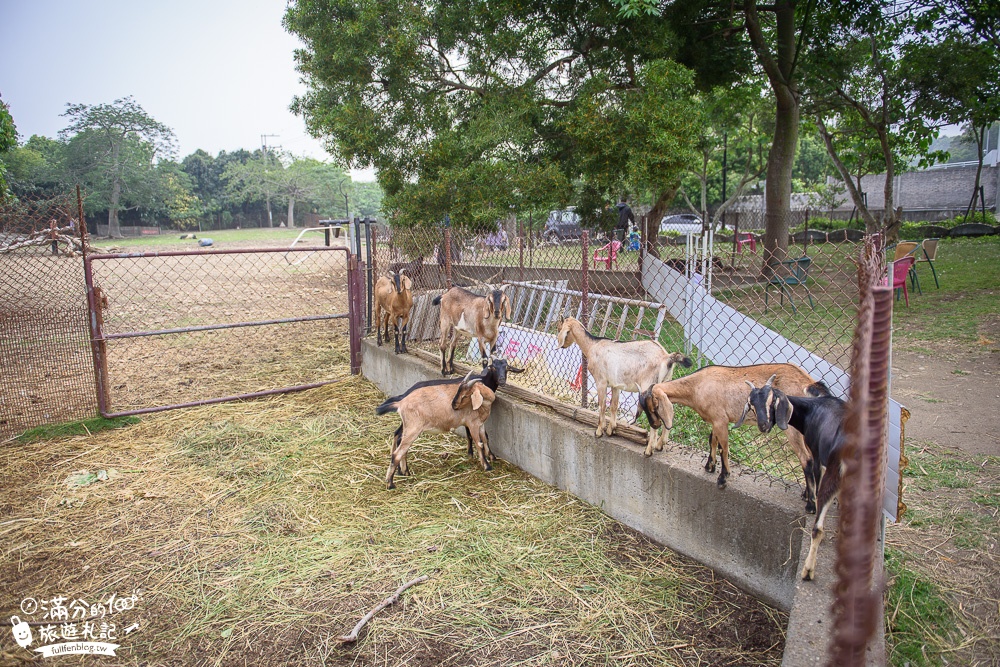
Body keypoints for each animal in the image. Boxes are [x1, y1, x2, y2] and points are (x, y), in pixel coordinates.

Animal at [640, 366, 828, 500]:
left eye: (652, 406)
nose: (655, 424)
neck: (697, 385)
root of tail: (809, 384)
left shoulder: (720, 420)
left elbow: (724, 448)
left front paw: (723, 479)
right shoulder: (716, 420)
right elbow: (712, 440)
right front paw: (709, 466)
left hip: (792, 427)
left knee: (807, 458)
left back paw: (810, 502)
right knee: (815, 459)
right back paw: (808, 494)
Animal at [744, 378, 844, 580]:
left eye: (772, 401)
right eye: (751, 404)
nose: (763, 425)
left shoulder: (817, 455)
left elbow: (809, 466)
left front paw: (810, 503)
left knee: (818, 528)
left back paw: (807, 570)